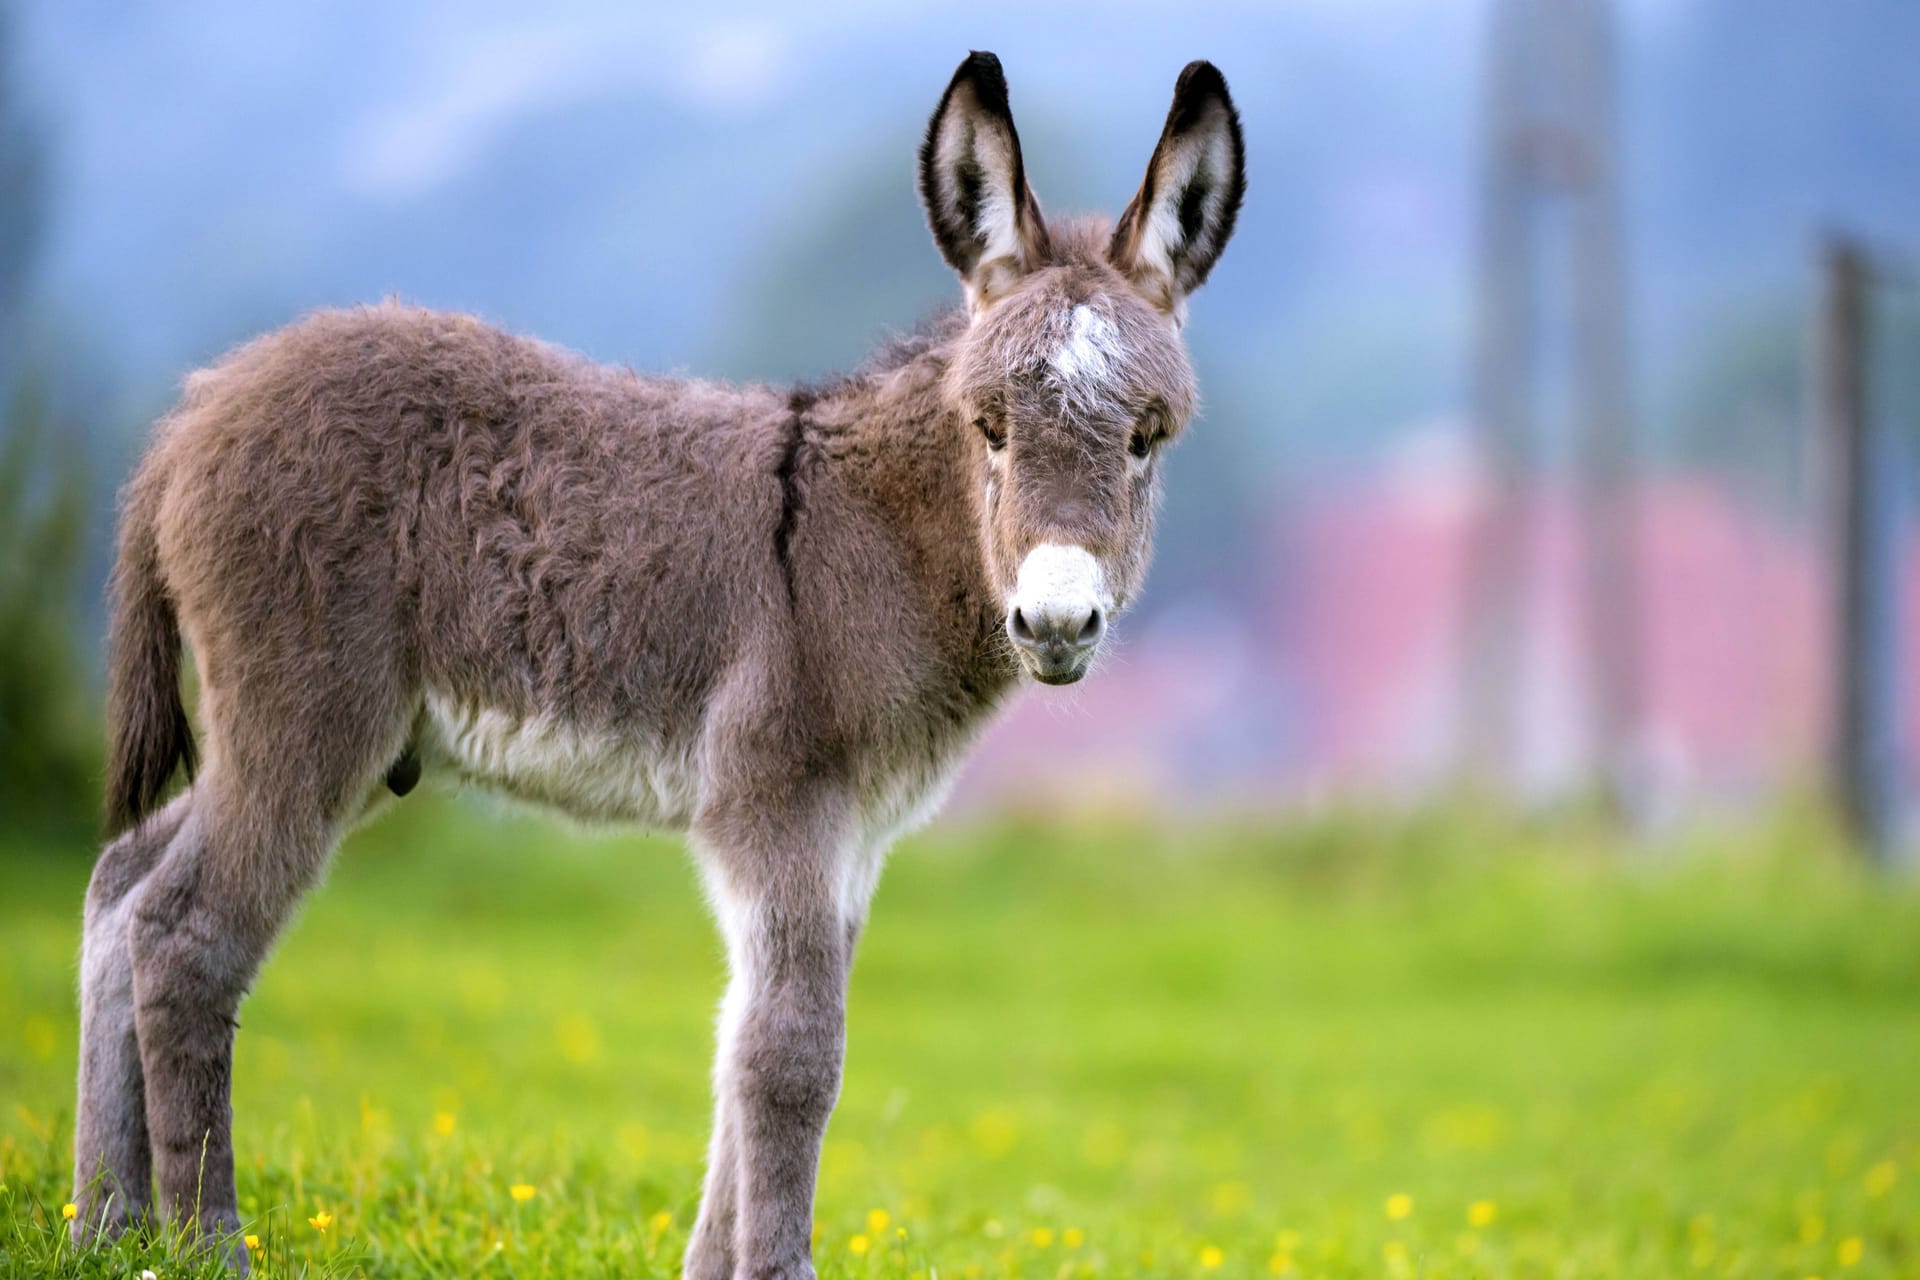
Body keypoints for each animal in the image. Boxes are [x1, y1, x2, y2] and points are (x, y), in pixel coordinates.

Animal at [71, 52, 1244, 1280]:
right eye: (990, 428)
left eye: (1147, 437)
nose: (1057, 620)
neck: (873, 532)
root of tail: (195, 410)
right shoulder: (775, 797)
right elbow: (791, 1054)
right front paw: (777, 1269)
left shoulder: (853, 837)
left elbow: (742, 1042)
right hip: (305, 719)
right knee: (185, 939)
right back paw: (206, 1243)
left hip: (310, 735)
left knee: (122, 886)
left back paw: (106, 1222)